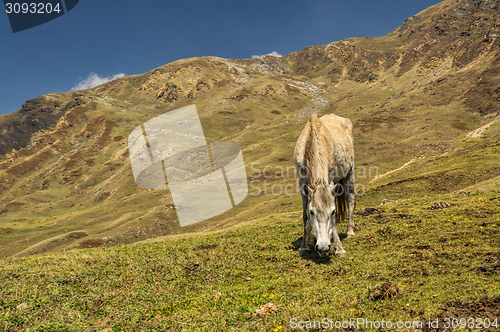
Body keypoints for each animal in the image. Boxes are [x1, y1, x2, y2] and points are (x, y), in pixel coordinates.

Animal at [292, 113, 356, 258]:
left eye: (332, 212)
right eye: (312, 212)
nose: (323, 248)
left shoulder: (330, 179)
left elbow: (334, 221)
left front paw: (339, 248)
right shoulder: (302, 183)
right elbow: (304, 215)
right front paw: (304, 246)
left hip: (350, 171)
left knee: (350, 200)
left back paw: (350, 231)